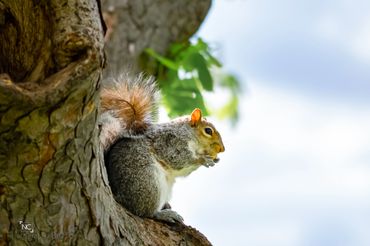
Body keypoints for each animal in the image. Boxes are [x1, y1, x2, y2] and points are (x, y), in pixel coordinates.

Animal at [99, 72, 225, 223]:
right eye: (208, 131)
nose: (222, 149)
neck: (188, 134)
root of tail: (118, 195)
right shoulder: (170, 141)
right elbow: (177, 158)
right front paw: (203, 160)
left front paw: (215, 160)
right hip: (147, 182)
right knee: (143, 211)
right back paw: (163, 214)